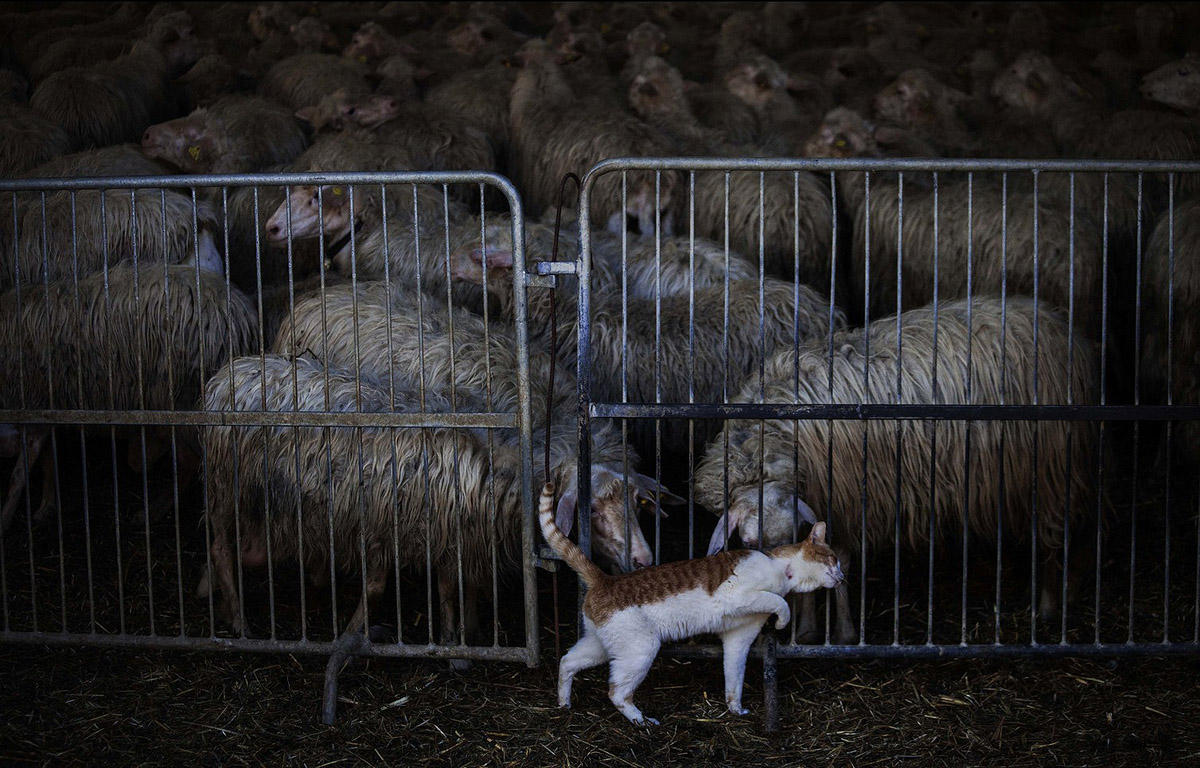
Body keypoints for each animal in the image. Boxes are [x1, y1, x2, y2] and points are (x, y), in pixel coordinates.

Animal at [1, 261, 259, 530]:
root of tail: (240, 316)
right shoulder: (45, 405)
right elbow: (47, 458)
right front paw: (46, 506)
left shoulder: (32, 400)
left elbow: (19, 472)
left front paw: (6, 517)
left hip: (178, 398)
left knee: (191, 461)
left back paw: (154, 509)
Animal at [544, 482, 844, 724]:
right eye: (833, 559)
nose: (842, 577)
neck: (783, 569)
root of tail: (604, 580)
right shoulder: (736, 596)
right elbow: (780, 602)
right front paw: (782, 621)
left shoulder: (739, 637)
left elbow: (734, 677)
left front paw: (735, 708)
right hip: (640, 648)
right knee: (616, 692)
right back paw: (642, 721)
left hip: (602, 644)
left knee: (567, 662)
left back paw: (563, 703)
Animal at [700, 294, 1099, 643]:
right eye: (749, 543)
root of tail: (1056, 323)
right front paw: (808, 629)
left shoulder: (849, 501)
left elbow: (839, 561)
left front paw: (842, 633)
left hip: (1051, 467)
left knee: (1054, 535)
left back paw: (1050, 606)